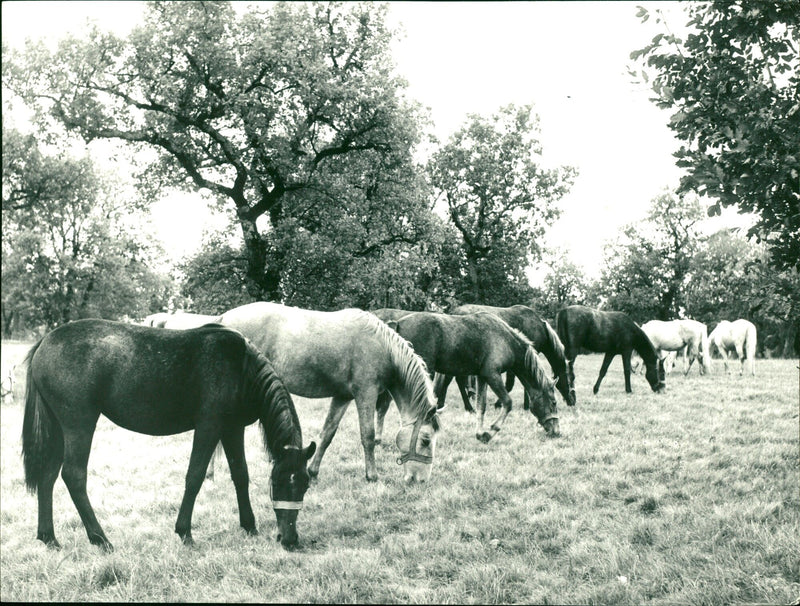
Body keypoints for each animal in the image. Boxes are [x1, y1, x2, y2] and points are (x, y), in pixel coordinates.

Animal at [21, 320, 316, 552]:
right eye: (277, 482)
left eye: (304, 484)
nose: (289, 539)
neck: (242, 368)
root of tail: (45, 342)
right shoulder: (209, 427)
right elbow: (195, 476)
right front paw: (185, 532)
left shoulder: (233, 428)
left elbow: (240, 474)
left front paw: (249, 526)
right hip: (79, 425)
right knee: (73, 475)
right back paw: (100, 539)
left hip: (58, 429)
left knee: (47, 476)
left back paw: (49, 538)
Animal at [219, 302, 440, 484]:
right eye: (425, 440)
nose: (421, 480)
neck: (382, 347)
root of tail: (223, 319)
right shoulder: (366, 394)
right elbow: (367, 436)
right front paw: (372, 476)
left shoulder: (343, 397)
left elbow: (327, 433)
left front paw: (312, 472)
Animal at [374, 312, 556, 444]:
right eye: (554, 403)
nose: (556, 431)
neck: (506, 339)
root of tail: (397, 324)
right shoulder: (492, 375)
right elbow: (507, 403)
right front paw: (490, 432)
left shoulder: (482, 377)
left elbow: (481, 406)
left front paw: (480, 433)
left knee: (383, 405)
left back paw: (378, 438)